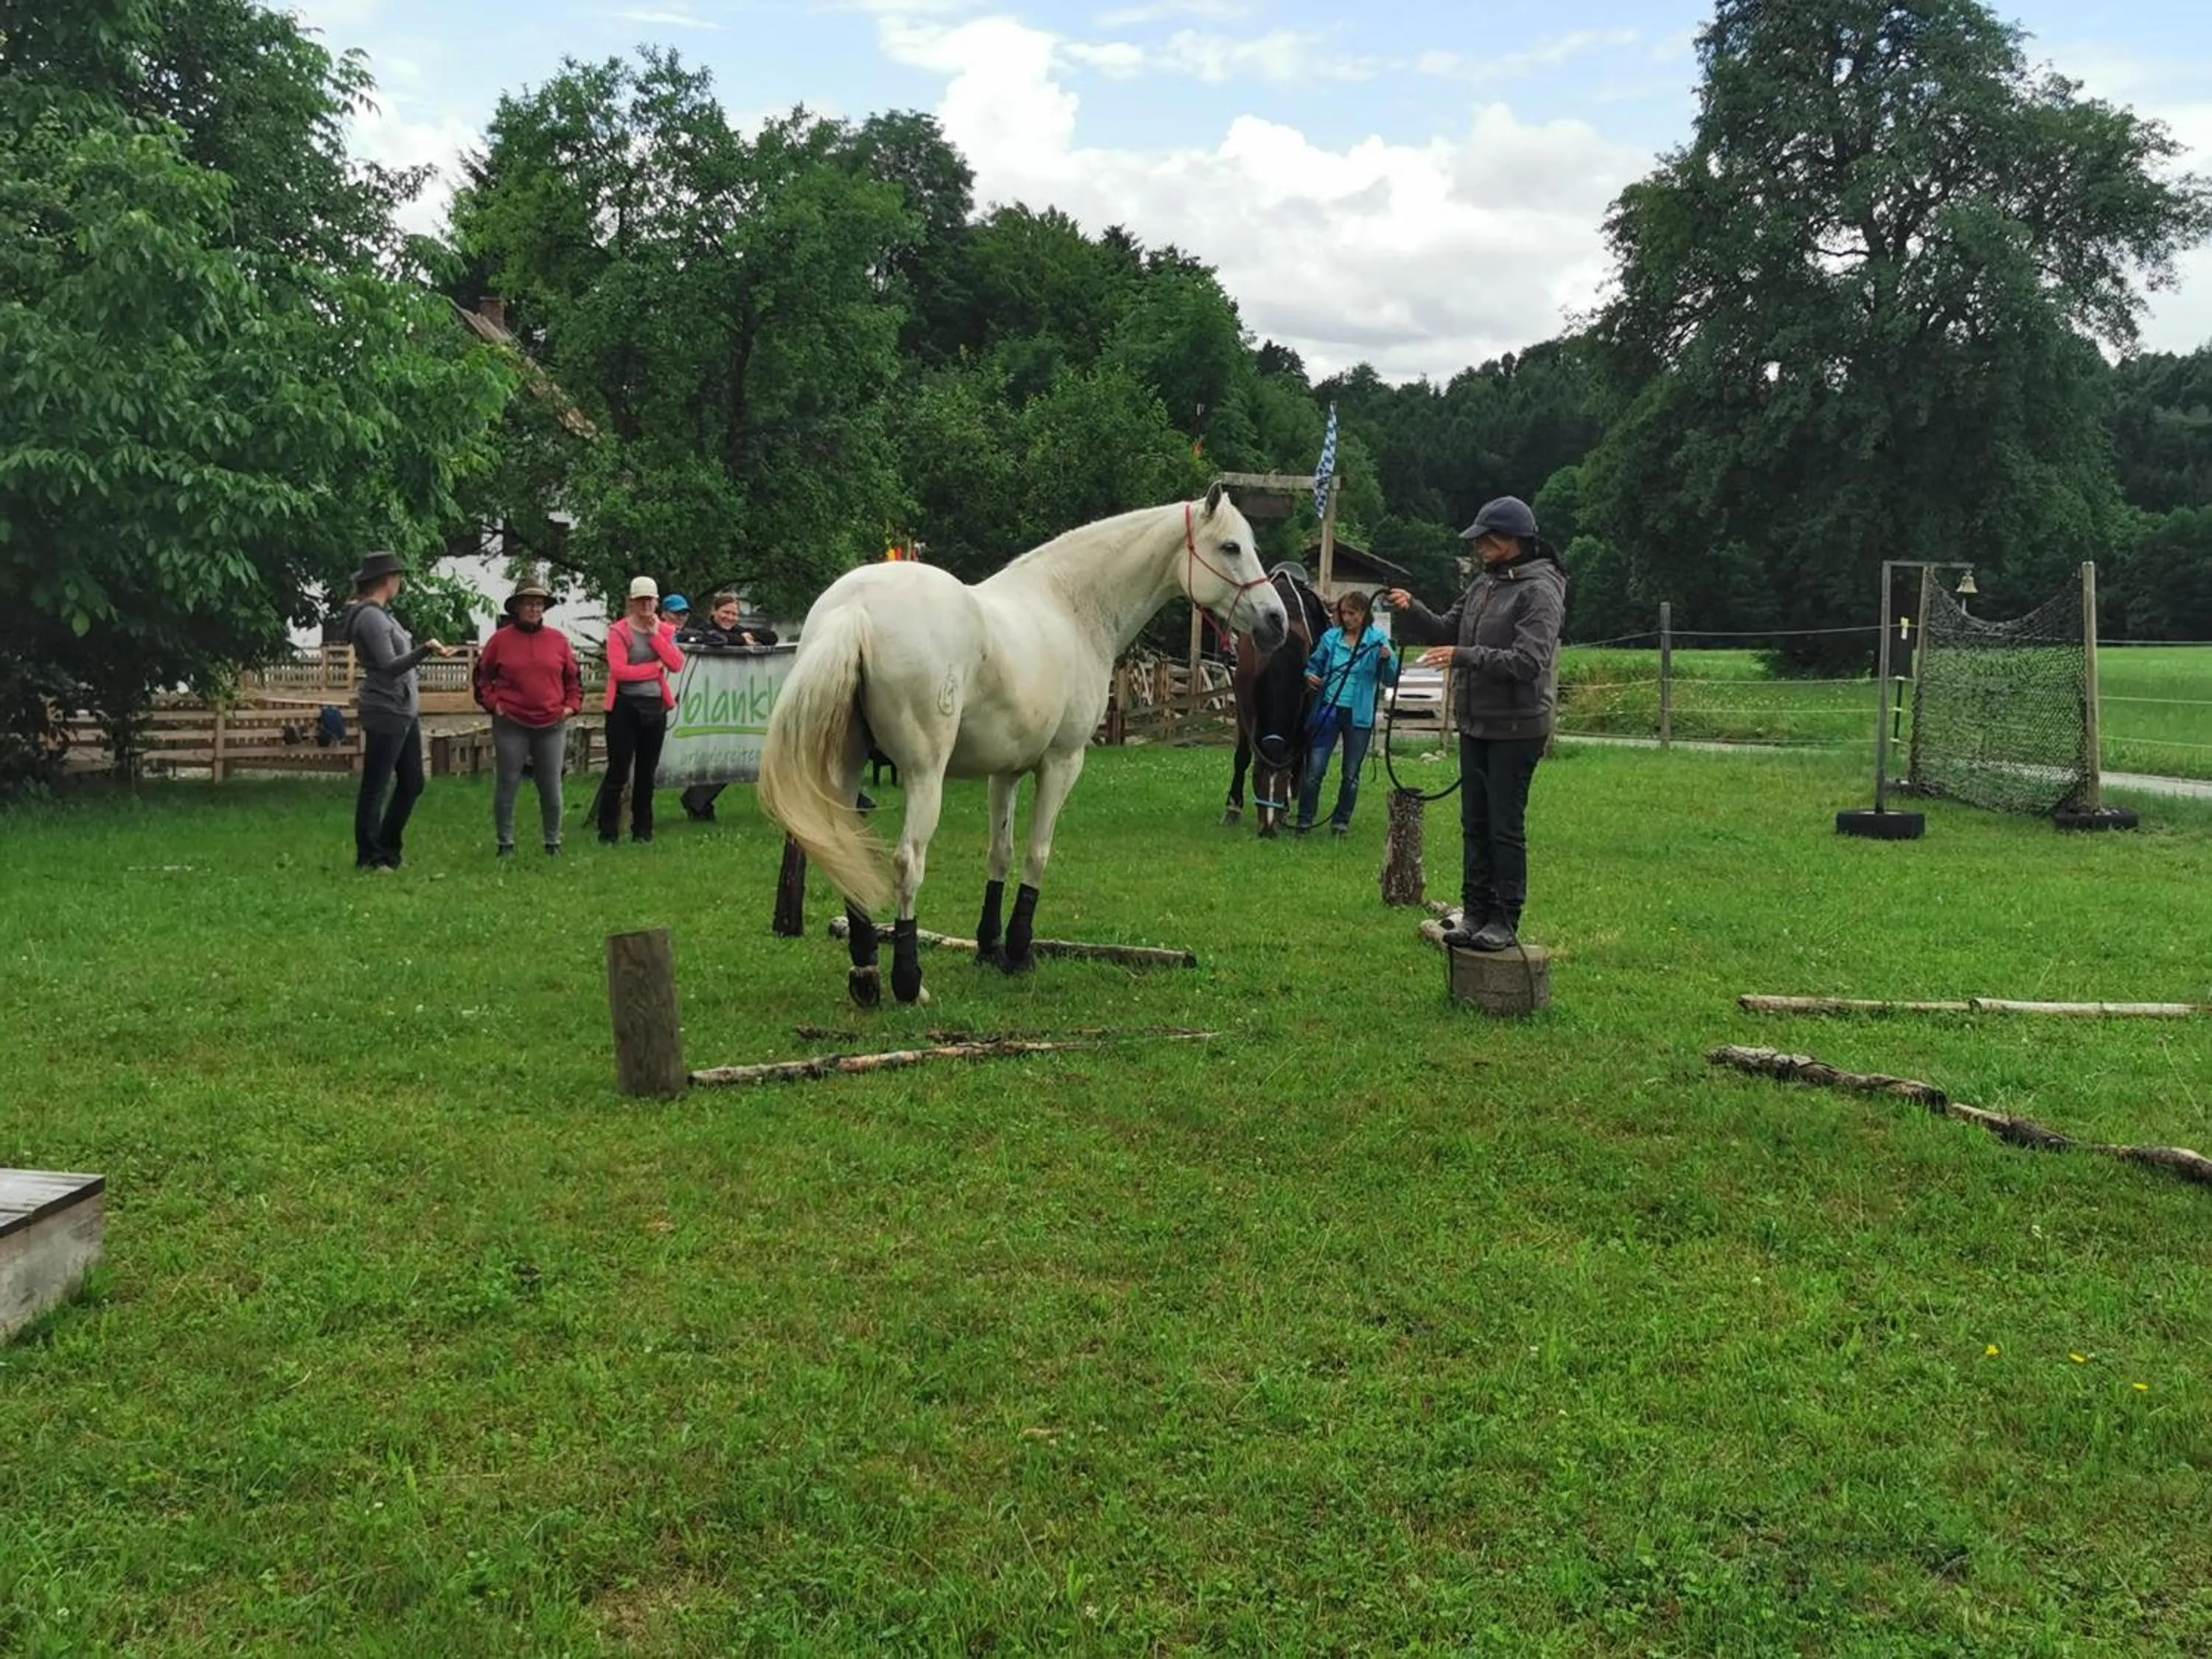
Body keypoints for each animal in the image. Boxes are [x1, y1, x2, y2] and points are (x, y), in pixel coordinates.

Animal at [758, 485, 1289, 1008]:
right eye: (1231, 547)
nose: (1277, 620)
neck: (1071, 607)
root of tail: (856, 609)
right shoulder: (1061, 764)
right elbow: (1037, 853)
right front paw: (1018, 952)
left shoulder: (1005, 773)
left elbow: (1001, 853)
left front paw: (989, 947)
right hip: (924, 775)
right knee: (908, 861)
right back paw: (908, 982)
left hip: (847, 768)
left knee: (849, 849)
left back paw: (866, 974)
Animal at [1222, 567, 1329, 837]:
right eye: (1256, 777)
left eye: (1282, 779)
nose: (1268, 829)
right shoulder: (1244, 708)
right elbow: (1242, 755)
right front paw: (1233, 808)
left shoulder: (1305, 710)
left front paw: (1286, 807)